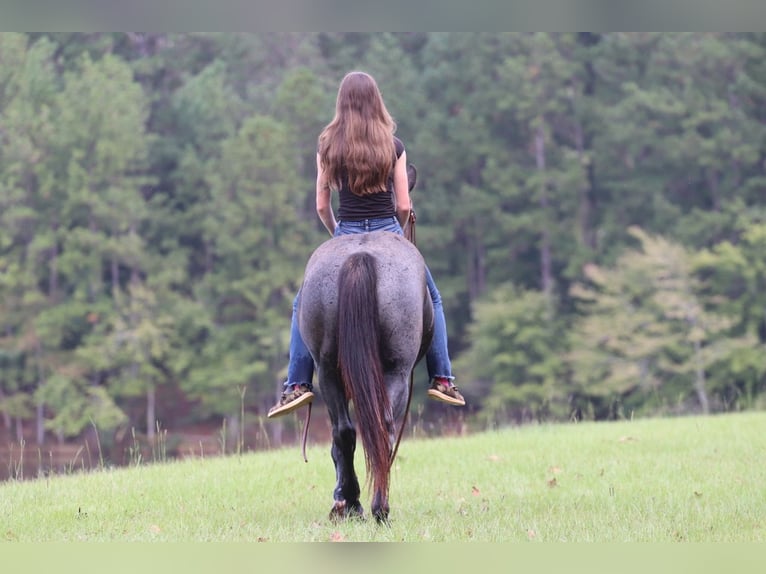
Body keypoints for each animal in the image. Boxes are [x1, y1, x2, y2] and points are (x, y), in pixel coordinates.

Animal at [296, 231, 436, 528]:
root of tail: (359, 257)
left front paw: (344, 501)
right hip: (396, 371)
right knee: (383, 428)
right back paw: (376, 508)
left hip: (327, 371)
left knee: (344, 431)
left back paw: (352, 504)